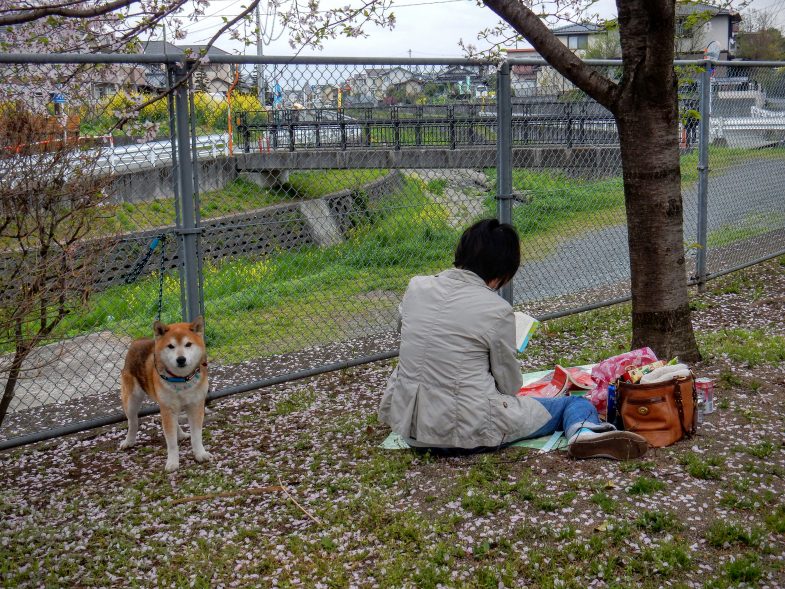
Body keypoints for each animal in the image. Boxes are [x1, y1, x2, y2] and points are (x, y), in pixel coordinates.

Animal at [118, 314, 211, 470]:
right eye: (171, 346)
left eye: (188, 344)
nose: (181, 359)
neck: (181, 380)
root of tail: (138, 340)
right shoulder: (167, 408)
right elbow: (171, 442)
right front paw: (172, 462)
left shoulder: (196, 406)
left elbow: (196, 436)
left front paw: (200, 454)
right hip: (131, 400)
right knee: (132, 422)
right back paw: (129, 441)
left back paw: (181, 434)